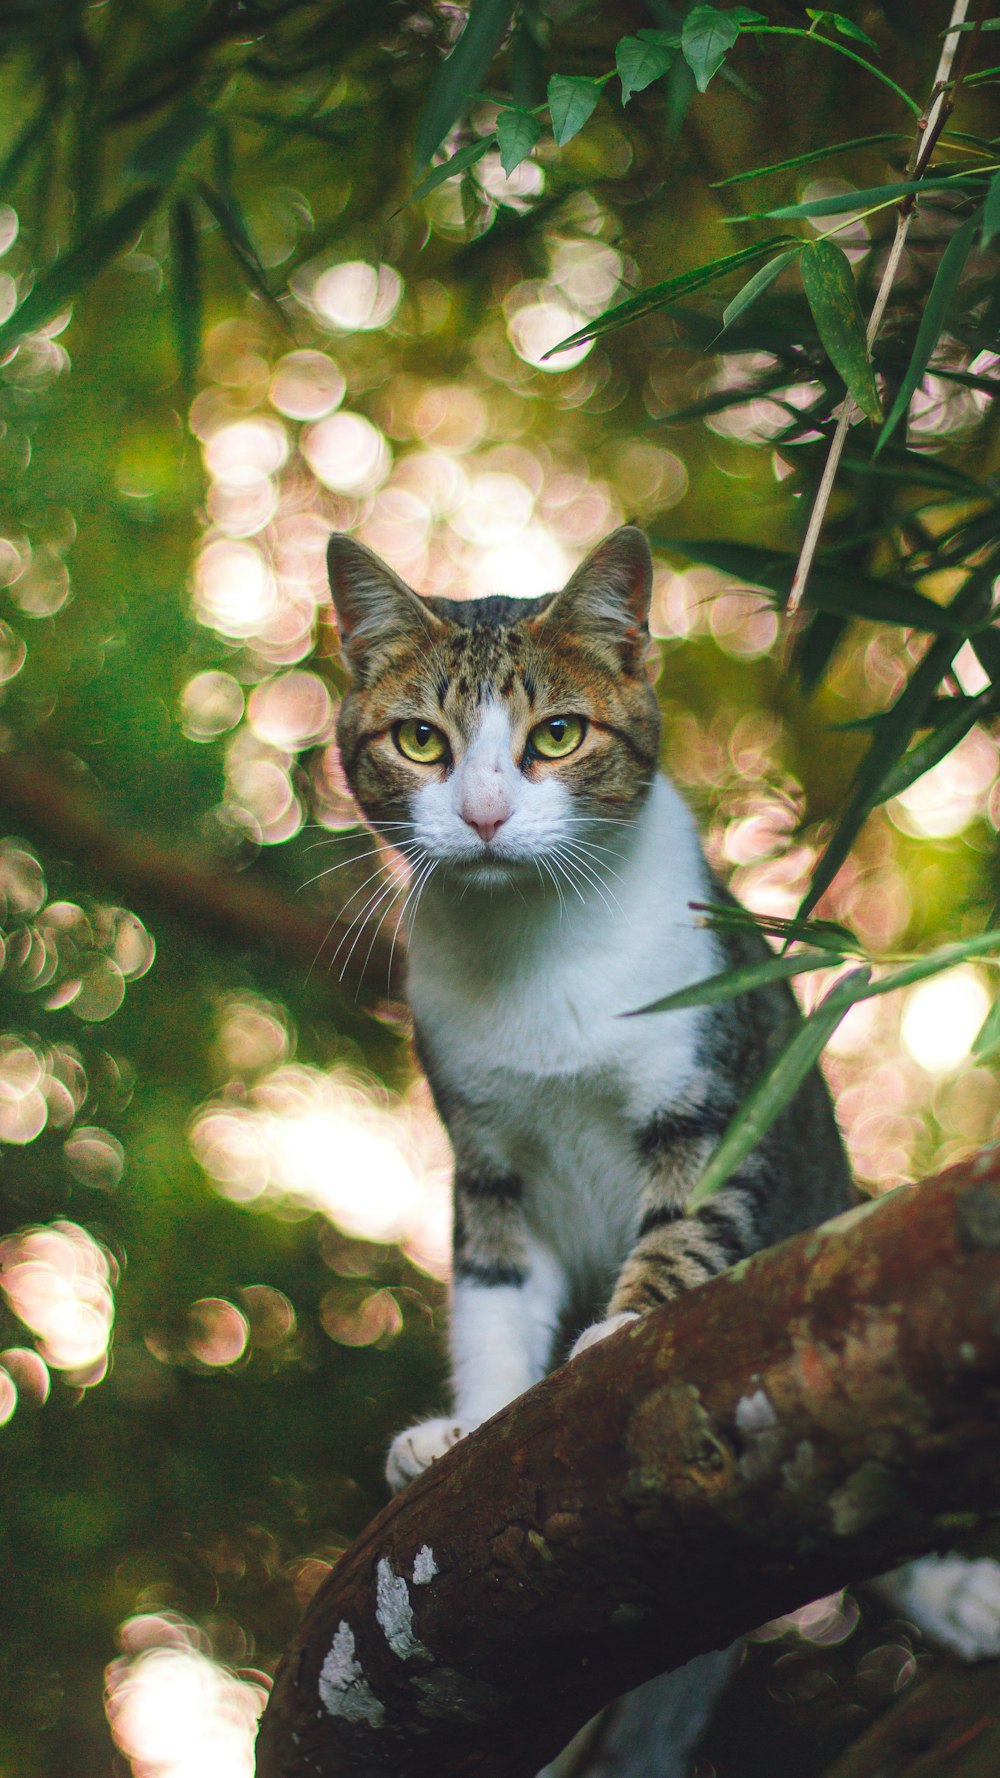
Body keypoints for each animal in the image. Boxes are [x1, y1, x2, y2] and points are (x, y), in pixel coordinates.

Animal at [325, 526, 996, 1778]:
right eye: (421, 739)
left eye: (556, 734)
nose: (481, 815)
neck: (531, 950)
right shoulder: (485, 1148)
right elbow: (492, 1292)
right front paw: (468, 1428)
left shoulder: (715, 1083)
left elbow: (688, 1223)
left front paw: (621, 1333)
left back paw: (959, 1589)